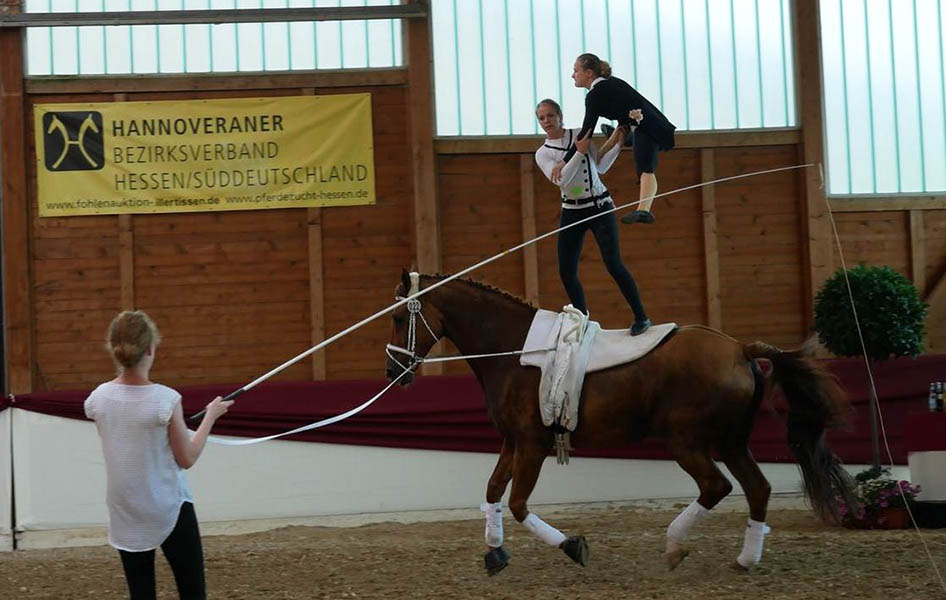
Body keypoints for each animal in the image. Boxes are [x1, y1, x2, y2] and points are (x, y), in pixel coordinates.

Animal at [386, 270, 856, 576]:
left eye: (397, 317)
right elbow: (492, 490)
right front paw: (495, 554)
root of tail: (740, 348)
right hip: (731, 441)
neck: (513, 350)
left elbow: (518, 503)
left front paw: (573, 547)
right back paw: (745, 559)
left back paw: (674, 546)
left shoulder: (533, 446)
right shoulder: (512, 441)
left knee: (716, 487)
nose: (394, 372)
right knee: (757, 488)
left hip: (686, 441)